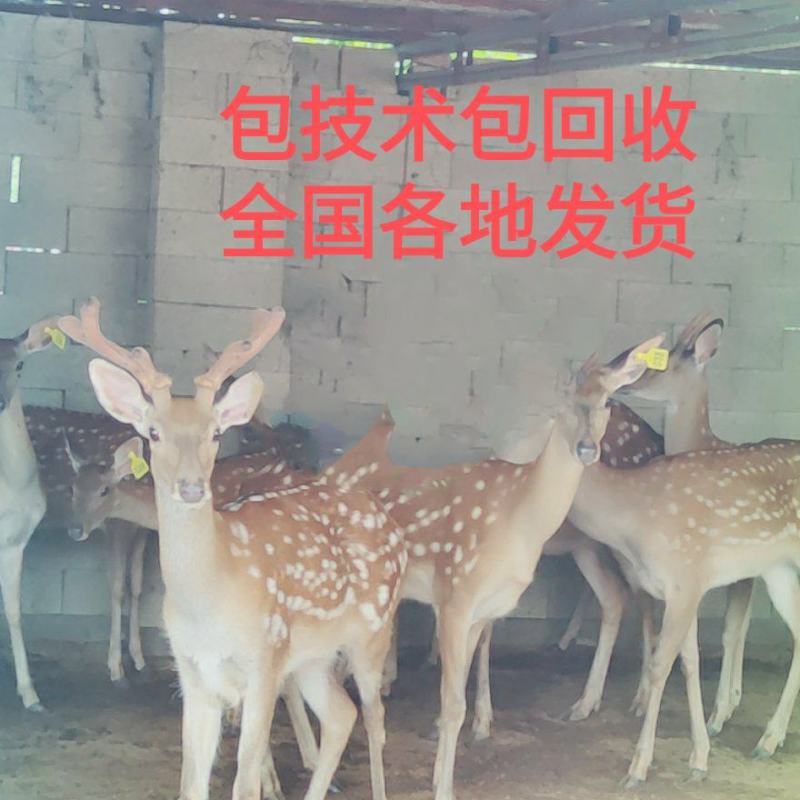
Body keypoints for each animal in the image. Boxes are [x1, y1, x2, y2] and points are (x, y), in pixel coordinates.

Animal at [59, 297, 406, 800]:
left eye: (216, 433)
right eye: (154, 433)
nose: (190, 488)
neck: (211, 597)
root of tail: (389, 522)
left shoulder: (263, 663)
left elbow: (243, 779)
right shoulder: (192, 674)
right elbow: (191, 782)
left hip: (370, 632)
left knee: (375, 720)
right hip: (312, 657)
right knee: (342, 715)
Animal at [259, 333, 664, 800]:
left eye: (608, 401)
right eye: (564, 400)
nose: (586, 448)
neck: (520, 520)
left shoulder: (482, 609)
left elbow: (457, 695)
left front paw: (443, 771)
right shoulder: (454, 596)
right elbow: (452, 705)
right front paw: (443, 786)